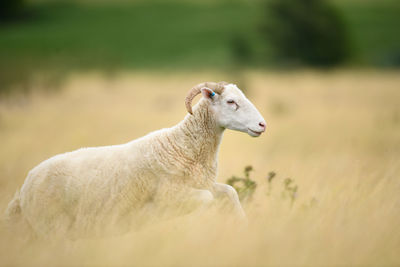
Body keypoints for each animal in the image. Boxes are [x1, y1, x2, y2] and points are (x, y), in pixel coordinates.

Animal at [5, 81, 266, 239]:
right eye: (231, 102)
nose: (262, 125)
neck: (182, 144)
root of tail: (22, 190)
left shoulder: (203, 184)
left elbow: (231, 192)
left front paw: (243, 225)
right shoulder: (171, 195)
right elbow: (208, 200)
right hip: (51, 228)